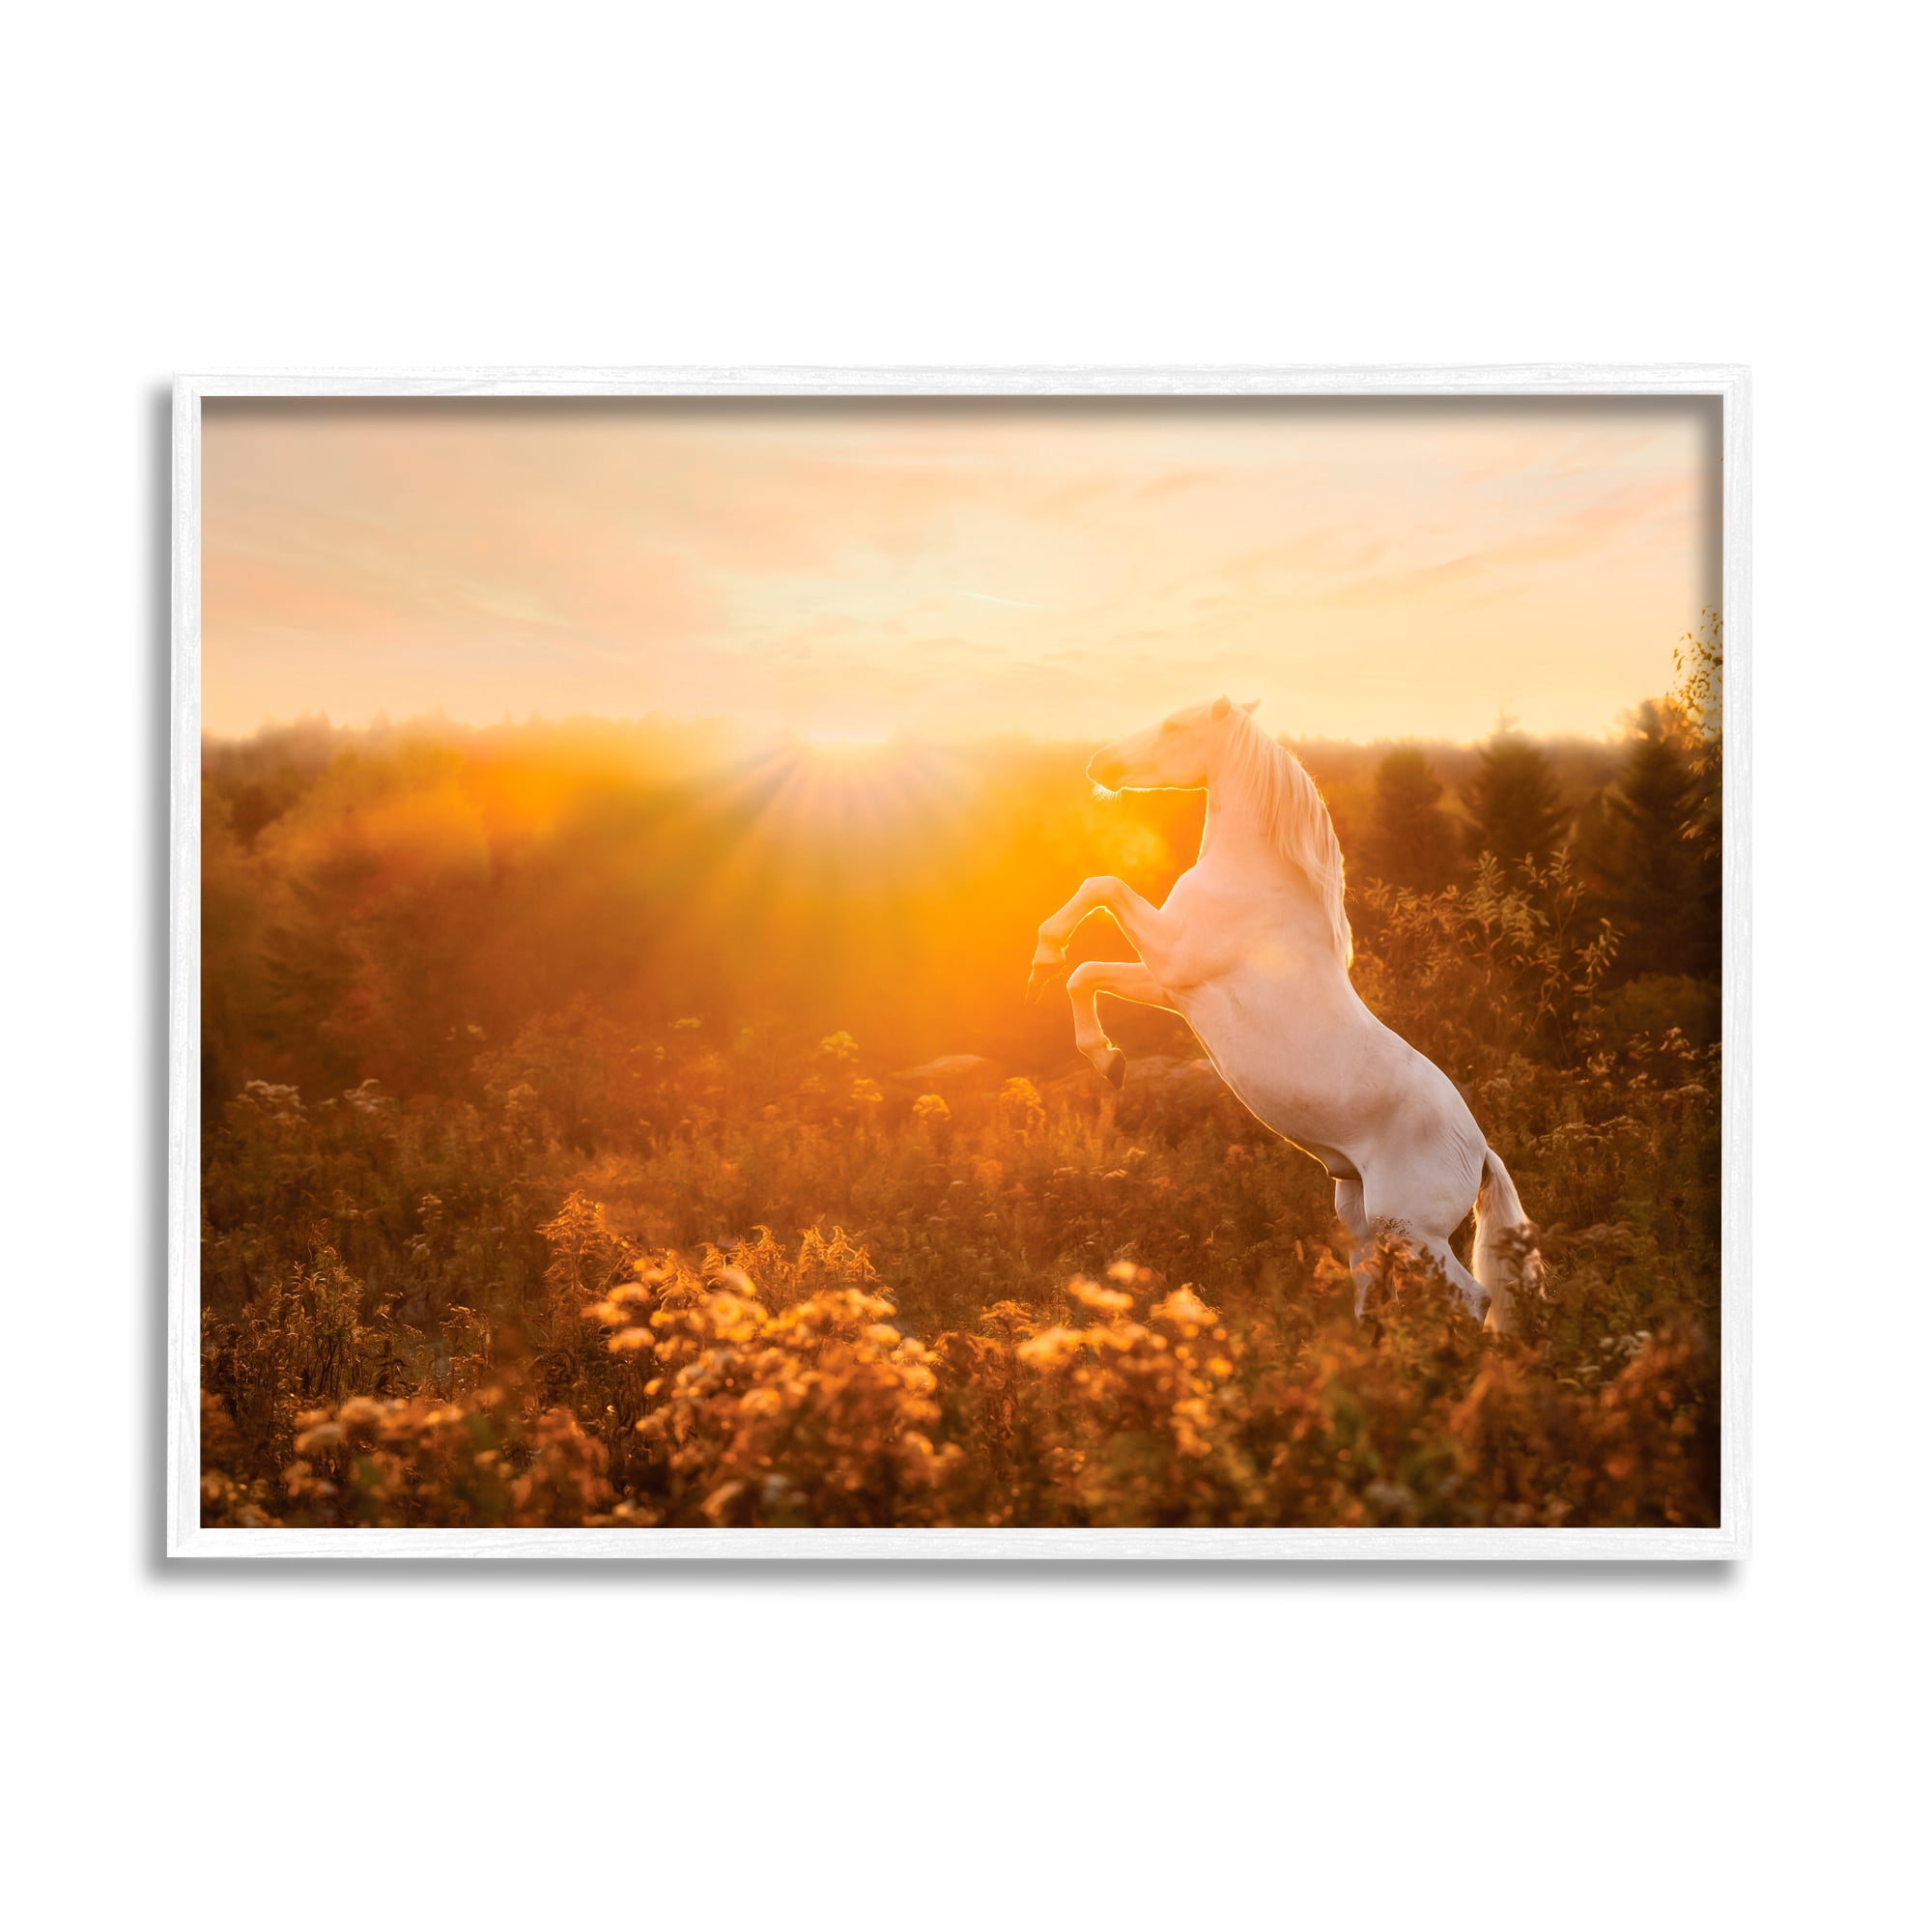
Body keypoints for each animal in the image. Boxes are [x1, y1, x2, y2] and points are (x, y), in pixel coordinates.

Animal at [1025, 695, 1541, 1331]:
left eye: (1175, 725)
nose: (1099, 763)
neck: (1254, 880)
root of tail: (1480, 1149)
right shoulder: (1169, 986)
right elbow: (1085, 974)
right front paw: (1108, 1059)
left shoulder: (1171, 956)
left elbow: (1102, 888)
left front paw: (1048, 961)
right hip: (1363, 1218)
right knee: (1377, 1286)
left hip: (1411, 1230)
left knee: (1473, 1298)